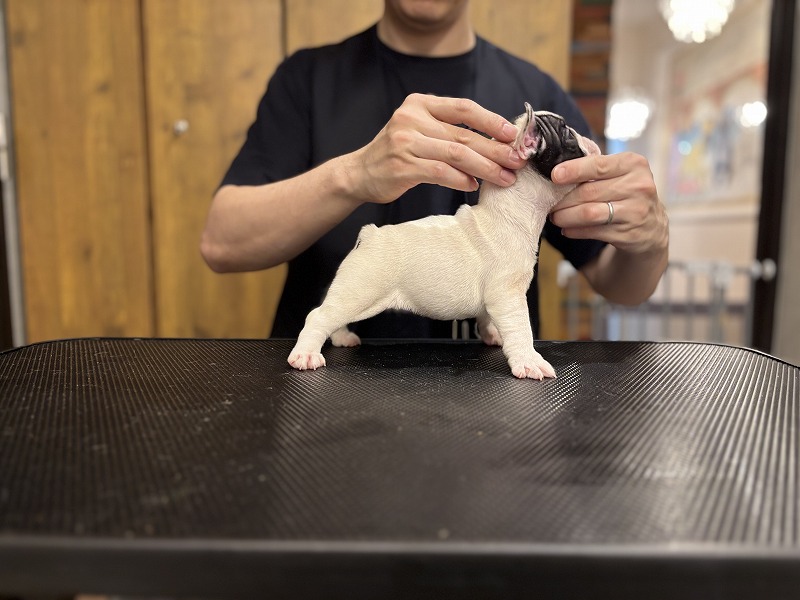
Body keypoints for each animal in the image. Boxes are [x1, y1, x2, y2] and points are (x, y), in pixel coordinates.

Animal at [288, 103, 601, 379]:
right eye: (568, 134)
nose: (591, 141)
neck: (511, 209)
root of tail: (370, 235)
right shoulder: (508, 295)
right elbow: (521, 328)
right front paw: (529, 361)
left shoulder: (494, 300)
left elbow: (487, 318)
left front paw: (493, 335)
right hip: (361, 290)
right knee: (319, 316)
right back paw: (305, 355)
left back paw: (342, 337)